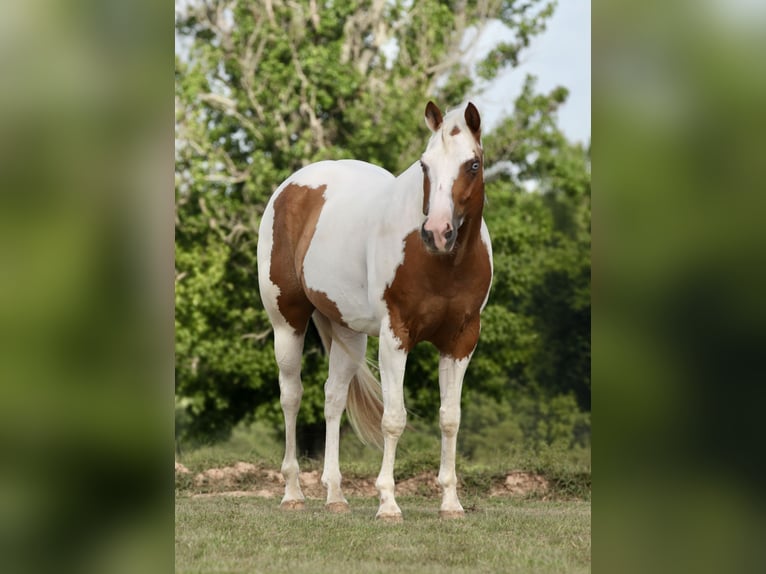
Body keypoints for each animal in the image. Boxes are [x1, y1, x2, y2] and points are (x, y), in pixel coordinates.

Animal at [256, 101, 493, 521]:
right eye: (424, 165)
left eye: (473, 164)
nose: (437, 232)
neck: (444, 264)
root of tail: (292, 187)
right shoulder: (395, 336)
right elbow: (394, 418)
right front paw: (388, 503)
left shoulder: (461, 340)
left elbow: (450, 419)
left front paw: (451, 502)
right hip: (287, 324)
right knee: (291, 396)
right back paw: (293, 492)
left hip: (347, 332)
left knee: (333, 397)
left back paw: (335, 495)